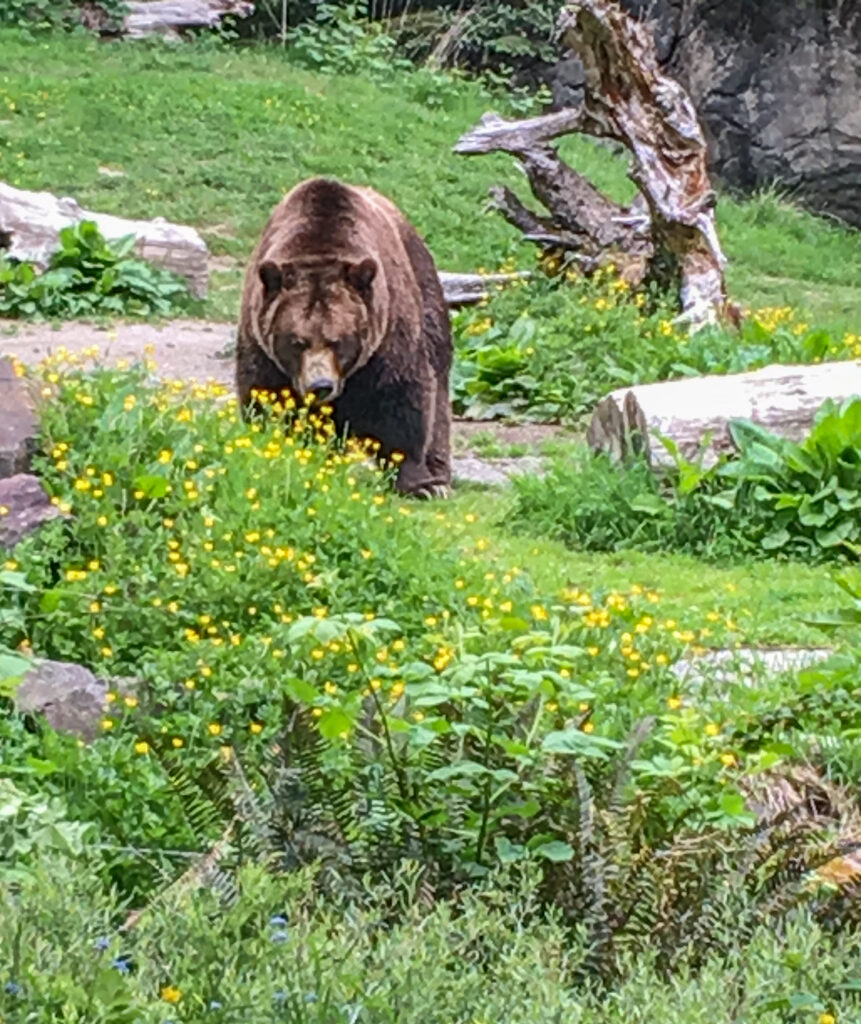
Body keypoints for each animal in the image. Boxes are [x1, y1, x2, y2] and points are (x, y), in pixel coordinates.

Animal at [231, 178, 452, 497]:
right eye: (297, 341)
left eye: (337, 340)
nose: (320, 385)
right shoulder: (261, 342)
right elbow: (264, 395)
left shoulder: (386, 335)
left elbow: (401, 399)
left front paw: (419, 483)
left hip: (426, 290)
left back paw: (439, 475)